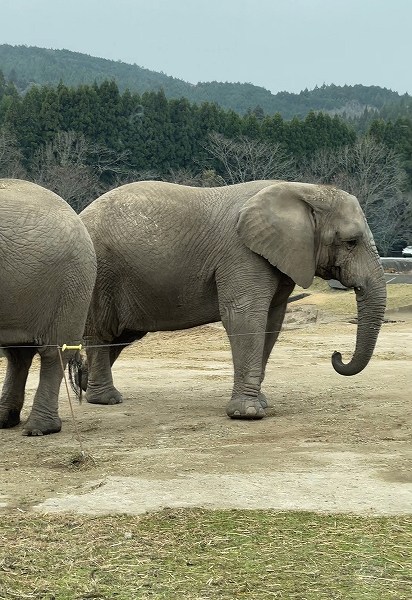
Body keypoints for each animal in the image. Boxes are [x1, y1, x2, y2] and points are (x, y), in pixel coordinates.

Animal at [79, 180, 386, 420]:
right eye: (351, 242)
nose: (336, 355)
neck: (303, 189)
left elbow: (272, 322)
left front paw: (260, 404)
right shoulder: (242, 254)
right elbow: (246, 316)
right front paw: (248, 413)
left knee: (120, 336)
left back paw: (83, 385)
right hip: (100, 272)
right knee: (102, 332)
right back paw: (105, 399)